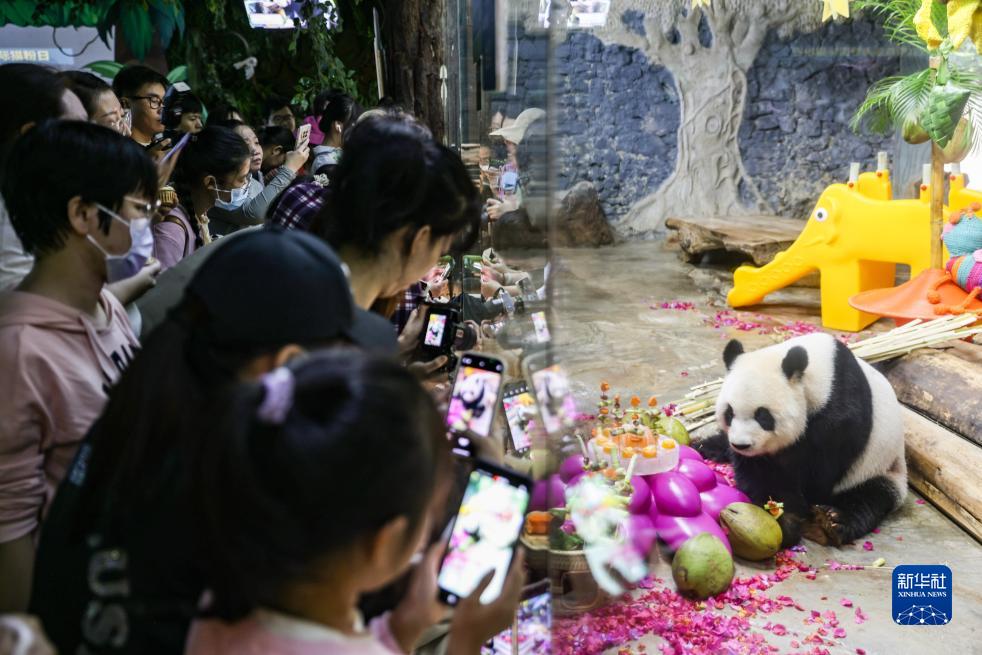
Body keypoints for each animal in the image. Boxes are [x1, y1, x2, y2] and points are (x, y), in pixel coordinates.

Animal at [700, 334, 908, 548]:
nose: (741, 445)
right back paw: (708, 446)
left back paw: (833, 521)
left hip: (880, 467)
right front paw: (784, 520)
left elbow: (820, 472)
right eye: (729, 413)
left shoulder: (841, 416)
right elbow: (760, 472)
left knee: (868, 498)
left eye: (763, 416)